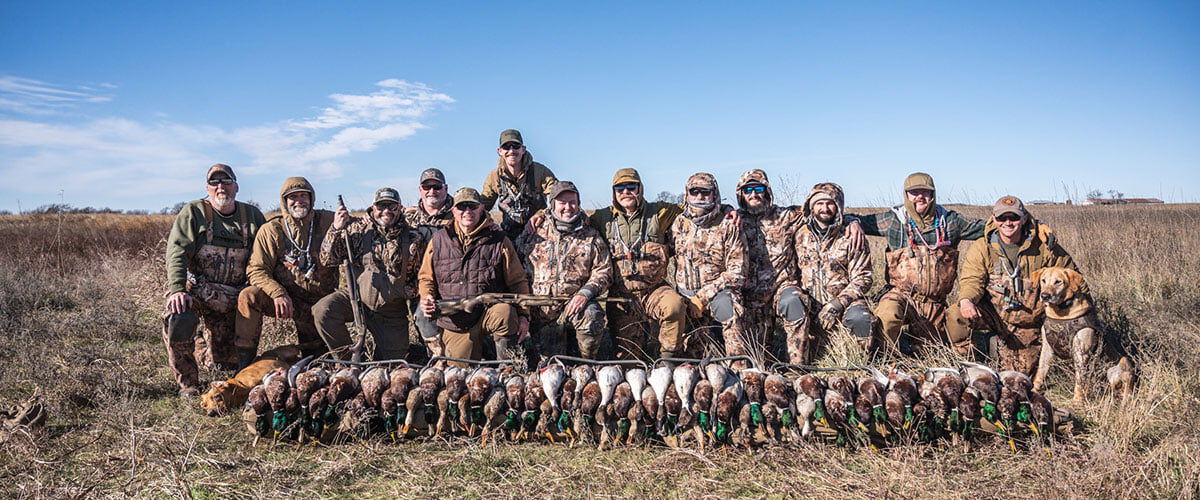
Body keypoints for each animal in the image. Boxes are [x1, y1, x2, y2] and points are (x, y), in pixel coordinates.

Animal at [1032, 267, 1132, 402]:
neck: (1060, 314)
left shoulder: (1081, 353)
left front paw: (1077, 400)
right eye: (1043, 280)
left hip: (1123, 363)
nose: (1045, 296)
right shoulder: (1047, 349)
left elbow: (1080, 379)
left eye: (1058, 282)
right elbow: (1040, 372)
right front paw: (1033, 390)